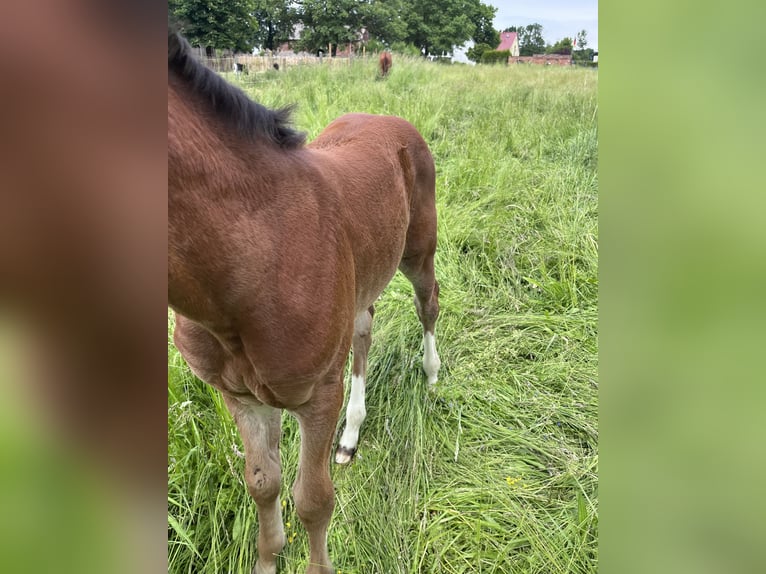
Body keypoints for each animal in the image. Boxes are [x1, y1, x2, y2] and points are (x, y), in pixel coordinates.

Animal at [168, 28, 441, 574]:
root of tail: (388, 118)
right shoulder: (242, 397)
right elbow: (262, 484)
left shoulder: (316, 397)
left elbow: (313, 501)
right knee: (363, 330)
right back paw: (351, 437)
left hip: (419, 251)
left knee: (429, 304)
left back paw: (432, 374)